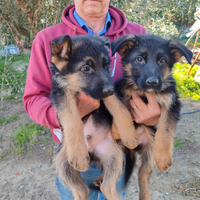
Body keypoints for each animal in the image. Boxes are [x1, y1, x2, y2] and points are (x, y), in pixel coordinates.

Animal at [110, 33, 193, 199]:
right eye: (139, 59)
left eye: (162, 60)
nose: (153, 82)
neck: (143, 92)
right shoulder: (120, 91)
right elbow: (120, 110)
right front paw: (120, 131)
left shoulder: (171, 103)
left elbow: (165, 130)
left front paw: (164, 158)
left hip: (150, 148)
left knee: (142, 174)